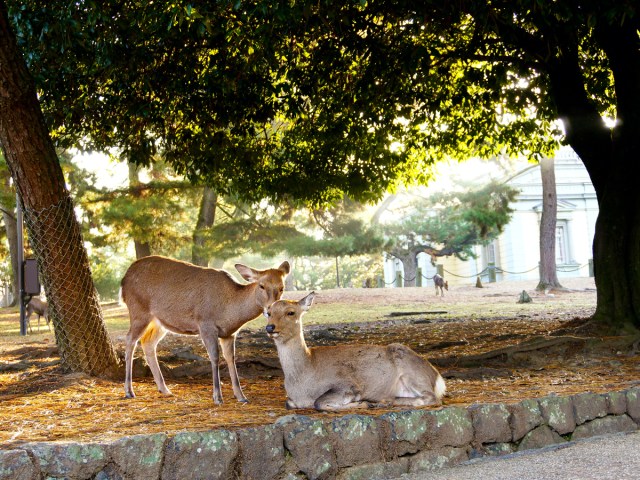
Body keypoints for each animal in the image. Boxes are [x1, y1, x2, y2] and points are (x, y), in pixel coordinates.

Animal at [120, 256, 290, 404]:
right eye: (261, 285)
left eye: (282, 288)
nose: (270, 310)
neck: (231, 313)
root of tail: (123, 280)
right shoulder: (206, 325)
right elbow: (214, 357)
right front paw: (217, 397)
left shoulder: (229, 334)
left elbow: (231, 358)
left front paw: (241, 396)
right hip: (138, 311)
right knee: (129, 340)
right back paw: (129, 391)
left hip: (160, 322)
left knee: (148, 343)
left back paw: (164, 389)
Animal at [264, 290, 444, 410]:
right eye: (269, 312)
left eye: (291, 312)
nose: (269, 327)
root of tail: (438, 378)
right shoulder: (291, 399)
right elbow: (289, 403)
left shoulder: (347, 384)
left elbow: (319, 403)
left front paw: (362, 403)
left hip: (412, 373)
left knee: (432, 398)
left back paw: (384, 401)